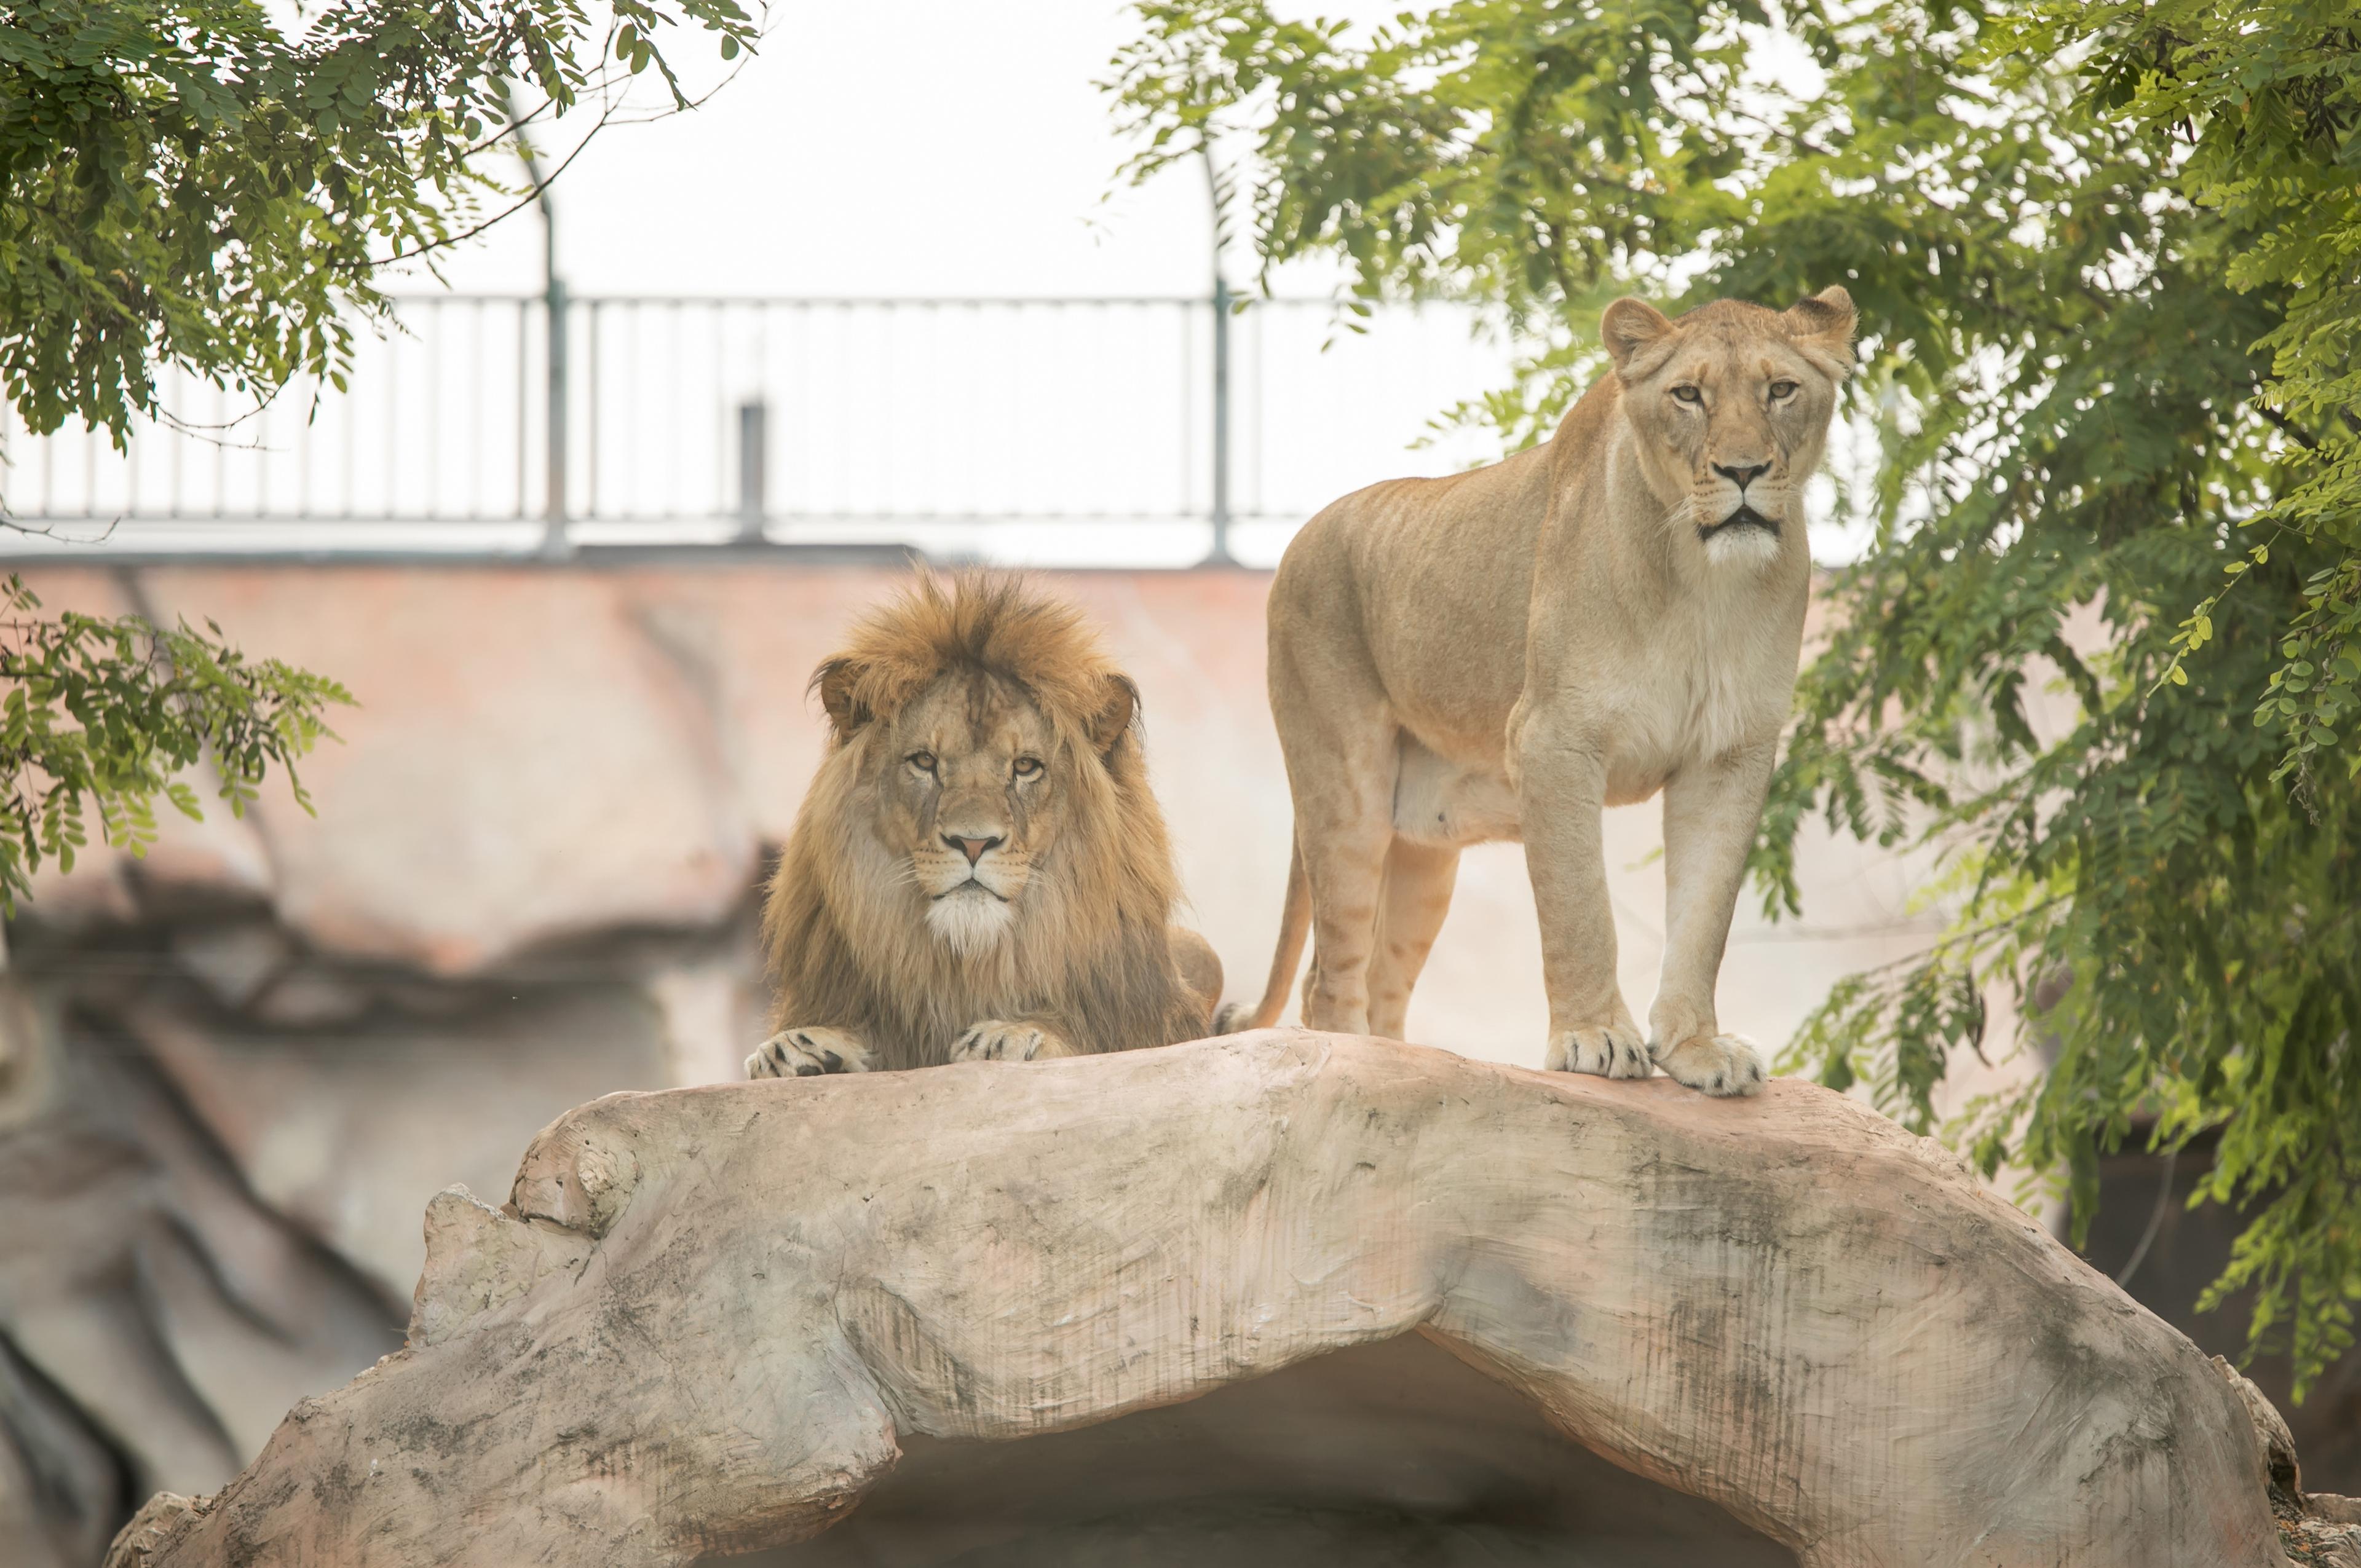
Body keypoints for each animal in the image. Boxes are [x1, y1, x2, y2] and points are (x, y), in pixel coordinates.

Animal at [741, 576, 1227, 1076]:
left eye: (1026, 766)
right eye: (924, 761)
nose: (973, 844)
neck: (970, 961)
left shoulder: (1153, 1022)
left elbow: (1097, 1037)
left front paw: (1012, 1035)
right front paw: (800, 1048)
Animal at [1227, 294, 1851, 1095]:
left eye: (1781, 390)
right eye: (1688, 394)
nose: (1742, 470)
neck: (1702, 584)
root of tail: (1300, 538)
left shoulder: (1730, 754)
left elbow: (1704, 915)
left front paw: (1696, 1049)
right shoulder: (1553, 738)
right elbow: (1579, 905)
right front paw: (1595, 1038)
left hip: (1423, 851)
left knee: (1382, 980)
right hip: (1344, 792)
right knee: (1328, 983)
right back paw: (1356, 1066)